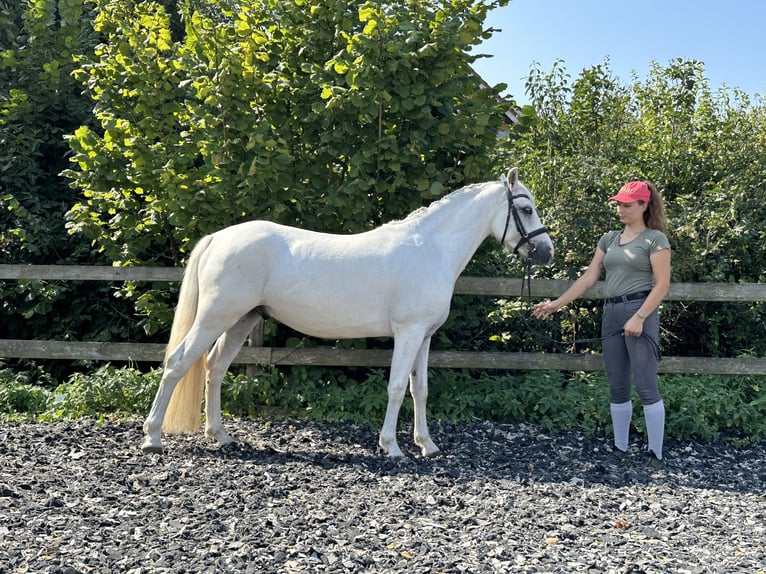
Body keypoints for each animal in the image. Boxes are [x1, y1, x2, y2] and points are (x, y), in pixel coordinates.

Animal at [142, 168, 552, 460]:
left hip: (242, 320)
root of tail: (218, 238)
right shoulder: (407, 333)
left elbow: (419, 389)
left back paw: (220, 435)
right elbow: (396, 388)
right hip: (215, 318)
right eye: (526, 209)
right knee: (178, 363)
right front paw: (392, 447)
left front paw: (427, 445)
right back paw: (152, 437)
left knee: (214, 369)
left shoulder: (424, 337)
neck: (431, 248)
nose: (546, 252)